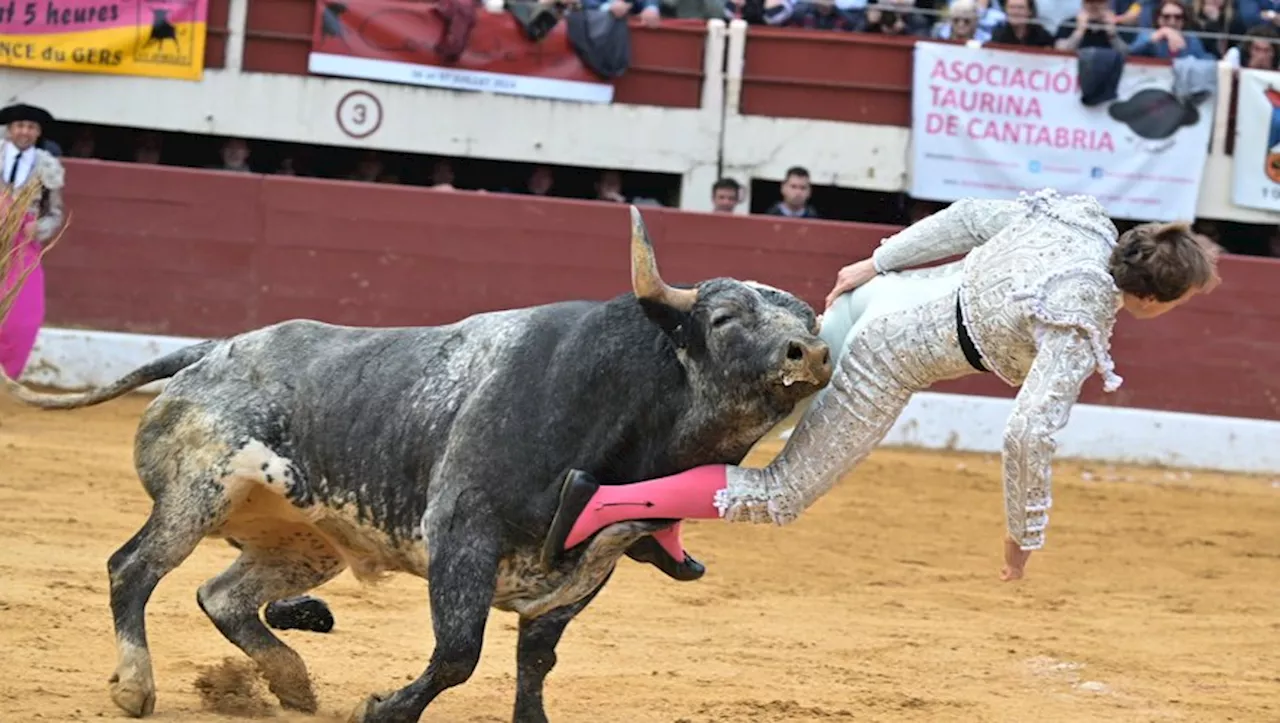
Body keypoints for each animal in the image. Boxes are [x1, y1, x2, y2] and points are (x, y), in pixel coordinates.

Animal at [2, 206, 839, 716]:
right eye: (724, 318)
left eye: (807, 318)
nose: (810, 352)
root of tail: (211, 350)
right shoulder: (463, 533)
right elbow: (459, 652)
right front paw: (384, 707)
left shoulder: (584, 570)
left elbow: (535, 657)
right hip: (194, 493)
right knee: (132, 569)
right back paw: (135, 686)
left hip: (302, 539)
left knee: (224, 594)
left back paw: (291, 680)